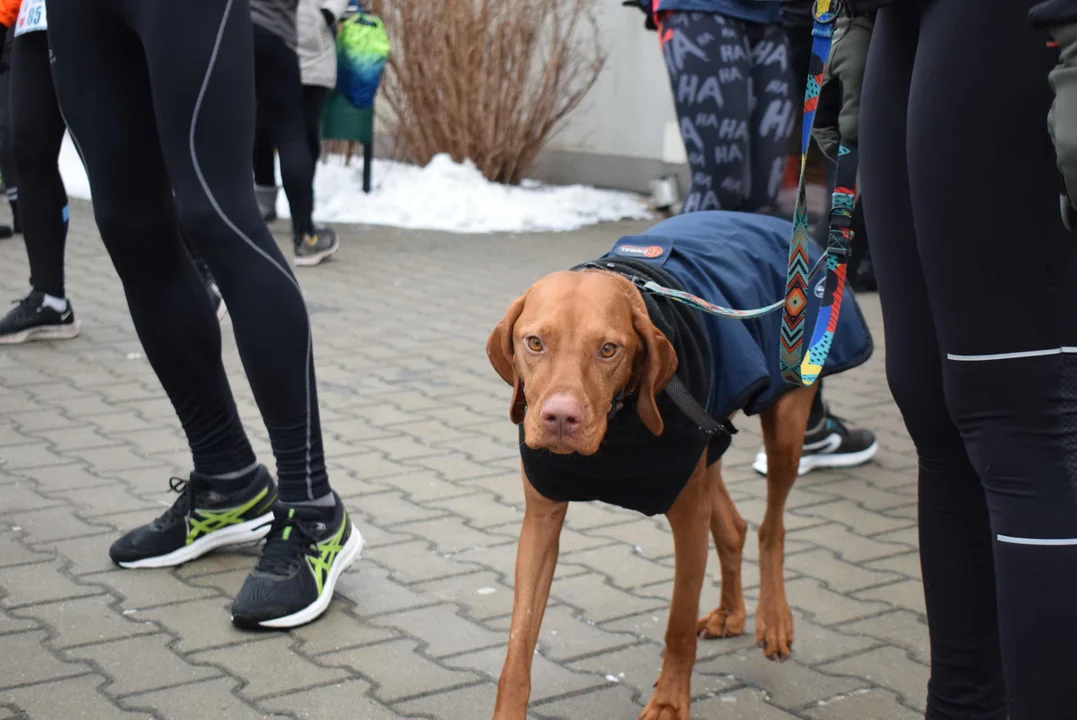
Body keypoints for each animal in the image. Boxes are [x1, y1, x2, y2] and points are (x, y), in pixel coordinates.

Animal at [486, 266, 814, 714]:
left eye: (608, 349)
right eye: (534, 343)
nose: (560, 418)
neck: (617, 426)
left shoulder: (689, 516)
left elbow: (678, 625)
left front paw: (670, 703)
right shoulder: (541, 517)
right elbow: (519, 642)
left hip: (784, 423)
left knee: (772, 527)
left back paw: (774, 618)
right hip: (709, 443)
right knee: (734, 528)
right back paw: (729, 613)